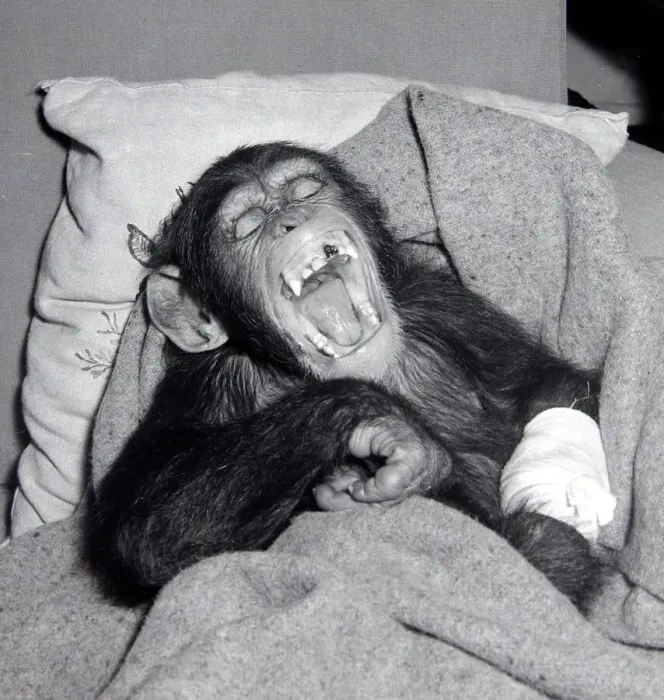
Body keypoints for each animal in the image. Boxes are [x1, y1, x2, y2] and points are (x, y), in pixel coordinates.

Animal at [85, 141, 609, 611]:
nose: (289, 219)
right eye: (247, 224)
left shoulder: (449, 308)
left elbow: (549, 387)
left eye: (305, 188)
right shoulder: (210, 383)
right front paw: (388, 431)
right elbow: (148, 528)